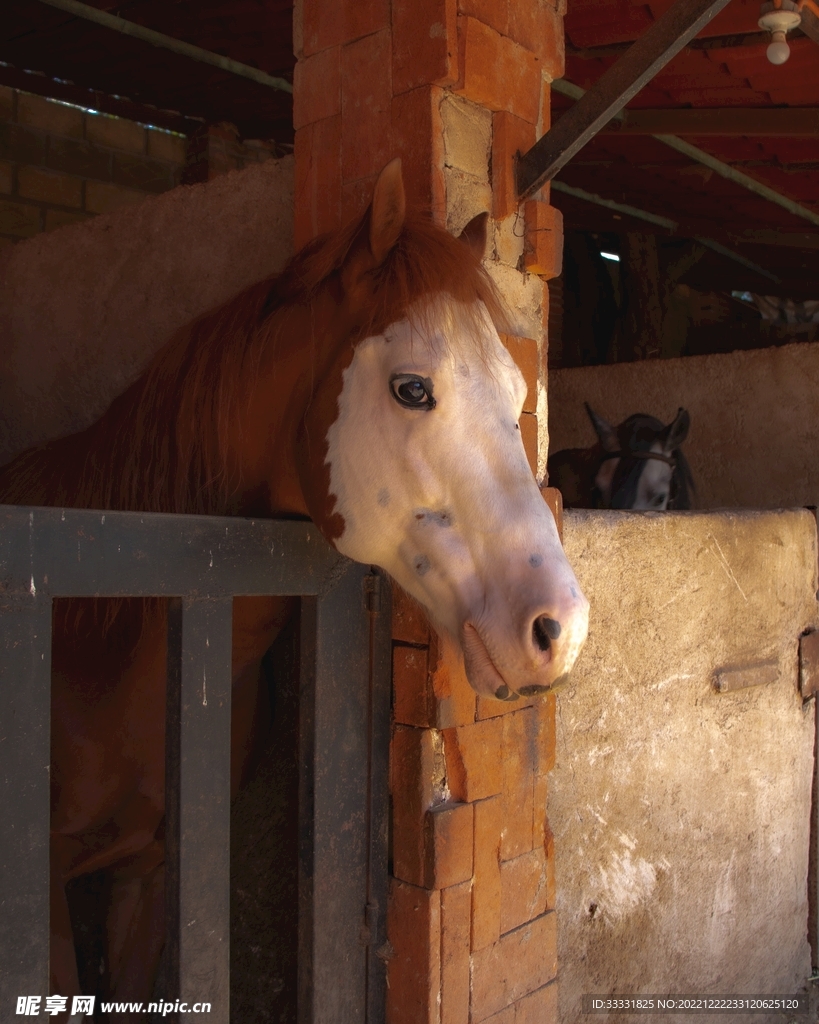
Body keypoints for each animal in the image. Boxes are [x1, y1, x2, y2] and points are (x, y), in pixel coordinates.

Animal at [0, 159, 589, 1016]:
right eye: (412, 389)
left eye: (518, 397)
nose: (558, 627)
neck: (100, 629)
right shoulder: (40, 888)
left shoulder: (151, 873)